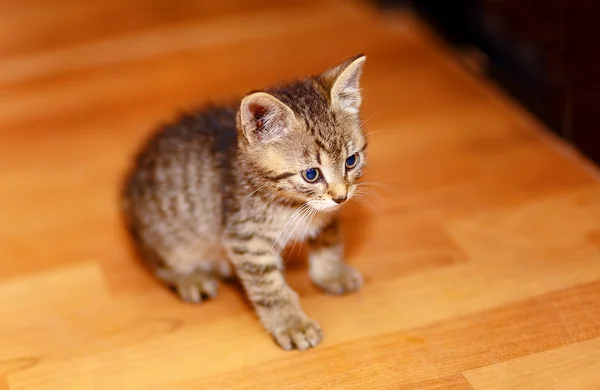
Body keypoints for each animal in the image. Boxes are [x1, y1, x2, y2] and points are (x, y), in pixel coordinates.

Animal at [120, 54, 368, 350]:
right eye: (311, 174)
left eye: (351, 161)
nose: (342, 196)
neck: (292, 204)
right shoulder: (246, 240)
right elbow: (270, 288)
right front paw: (291, 323)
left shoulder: (325, 214)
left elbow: (329, 241)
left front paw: (332, 273)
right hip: (168, 233)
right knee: (162, 261)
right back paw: (190, 278)